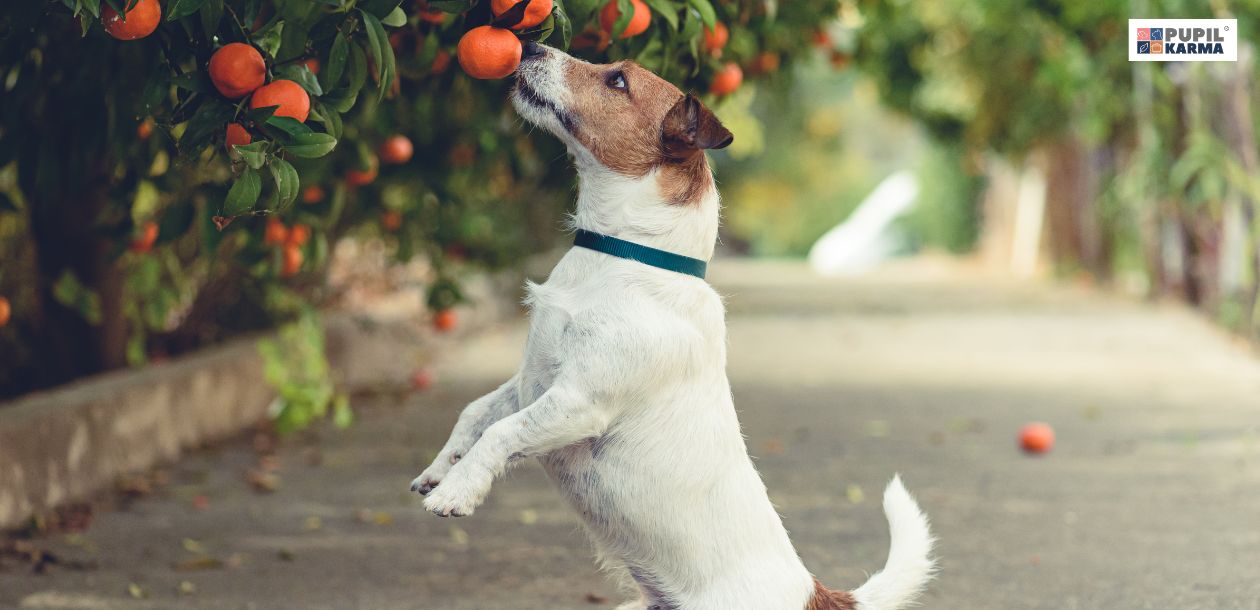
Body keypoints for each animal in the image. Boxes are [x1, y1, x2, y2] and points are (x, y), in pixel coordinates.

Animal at [413, 44, 937, 610]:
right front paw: (441, 470)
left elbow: (501, 433)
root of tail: (811, 592)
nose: (530, 45)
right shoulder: (531, 380)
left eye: (618, 81)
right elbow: (475, 414)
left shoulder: (578, 402)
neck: (624, 255)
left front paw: (458, 491)